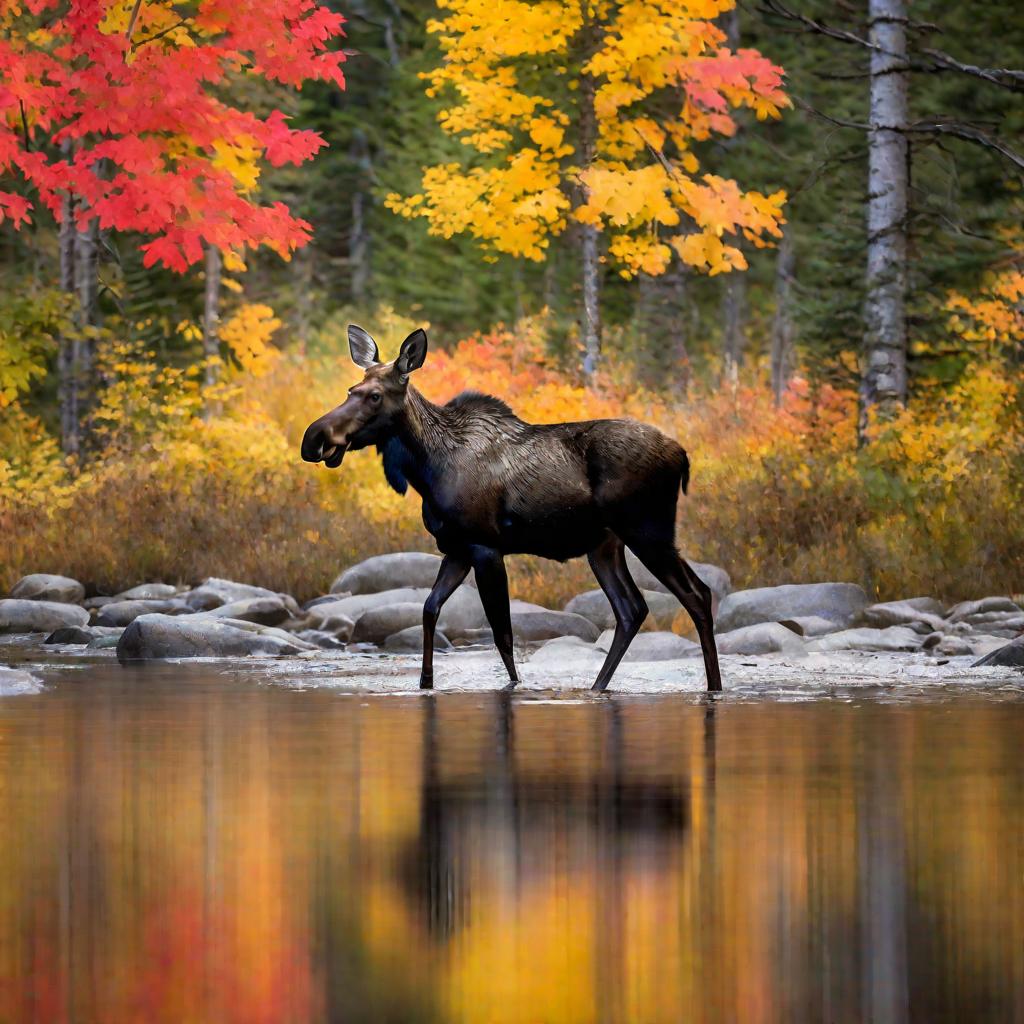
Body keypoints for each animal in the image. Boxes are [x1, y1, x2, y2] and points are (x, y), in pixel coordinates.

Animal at [299, 327, 724, 696]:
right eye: (351, 390)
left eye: (374, 396)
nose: (313, 438)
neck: (426, 468)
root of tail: (683, 456)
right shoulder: (456, 548)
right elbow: (429, 610)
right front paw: (425, 683)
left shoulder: (486, 546)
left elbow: (502, 634)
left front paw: (515, 687)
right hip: (606, 546)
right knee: (632, 608)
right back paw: (599, 686)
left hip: (648, 531)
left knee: (696, 594)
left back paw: (713, 687)